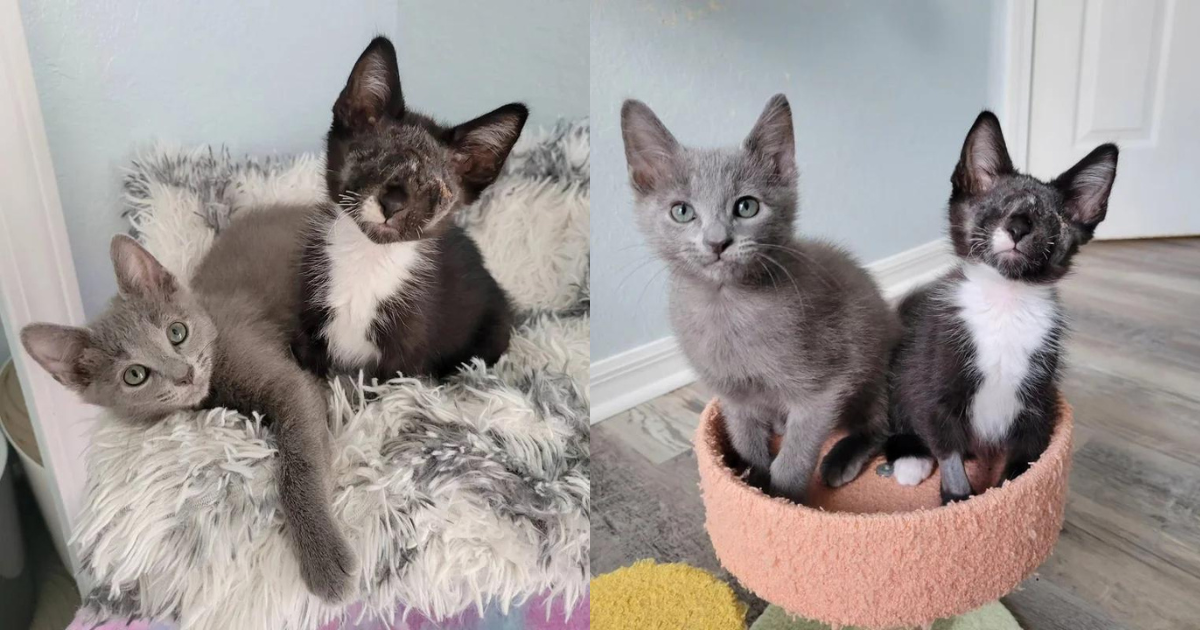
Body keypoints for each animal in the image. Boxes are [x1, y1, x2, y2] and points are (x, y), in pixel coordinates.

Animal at [22, 206, 355, 600]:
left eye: (176, 332)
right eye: (135, 375)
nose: (184, 374)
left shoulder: (288, 383)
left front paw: (323, 558)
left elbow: (300, 460)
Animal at [292, 38, 523, 379]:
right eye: (369, 158)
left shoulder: (406, 356)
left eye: (435, 188)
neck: (367, 259)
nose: (393, 204)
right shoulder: (307, 322)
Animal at [624, 96, 897, 504]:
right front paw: (749, 483)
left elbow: (795, 455)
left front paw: (783, 500)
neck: (726, 307)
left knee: (880, 423)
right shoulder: (734, 397)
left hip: (872, 366)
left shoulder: (823, 388)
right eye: (682, 211)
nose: (717, 242)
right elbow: (745, 441)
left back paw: (841, 459)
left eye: (746, 207)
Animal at [892, 110, 1113, 504]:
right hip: (907, 367)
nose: (1019, 226)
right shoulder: (937, 387)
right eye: (995, 208)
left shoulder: (1037, 406)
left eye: (1049, 219)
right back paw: (910, 458)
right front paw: (959, 502)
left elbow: (1022, 468)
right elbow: (948, 451)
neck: (1005, 301)